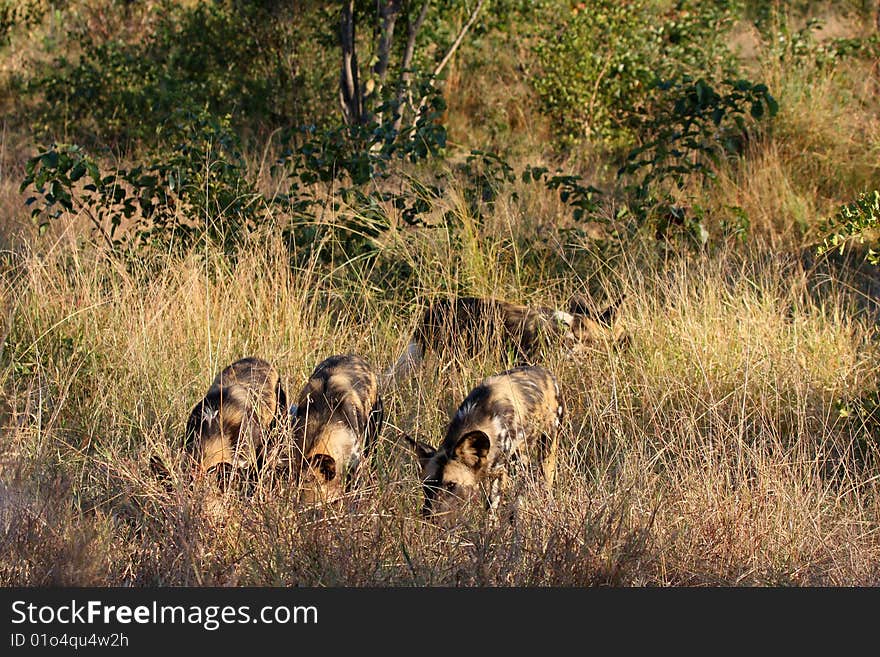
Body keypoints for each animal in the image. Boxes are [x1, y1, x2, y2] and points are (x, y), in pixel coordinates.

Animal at [406, 364, 564, 524]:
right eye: (427, 485)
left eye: (451, 485)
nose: (430, 517)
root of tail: (544, 370)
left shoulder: (499, 473)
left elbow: (491, 508)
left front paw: (490, 527)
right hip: (520, 459)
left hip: (546, 450)